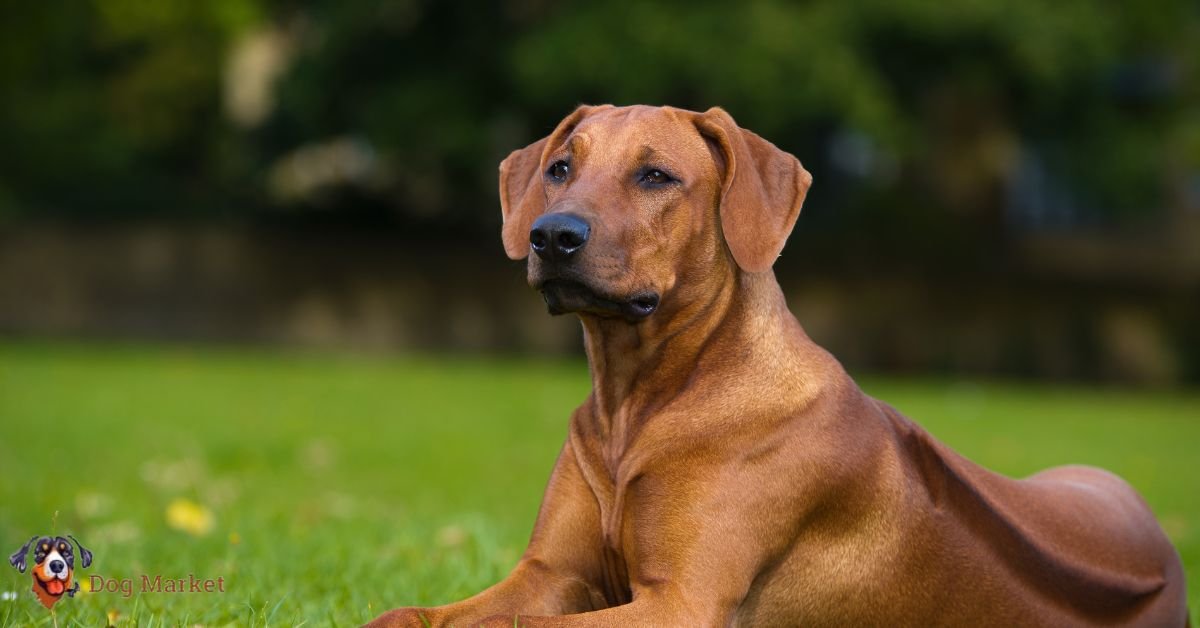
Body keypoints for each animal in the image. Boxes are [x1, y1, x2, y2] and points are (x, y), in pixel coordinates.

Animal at [367, 105, 1190, 624]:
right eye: (561, 167)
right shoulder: (550, 575)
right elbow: (410, 613)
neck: (639, 402)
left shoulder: (677, 605)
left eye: (657, 176)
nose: (550, 234)